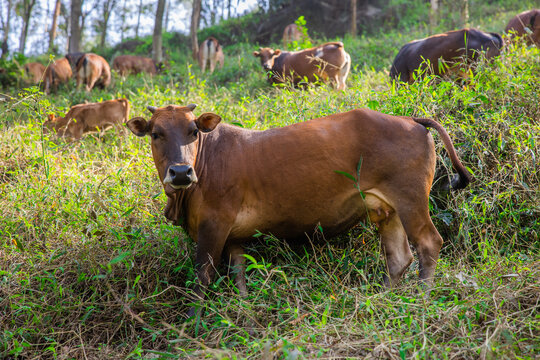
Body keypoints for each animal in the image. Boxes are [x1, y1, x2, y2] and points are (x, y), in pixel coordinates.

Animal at [126, 104, 472, 312]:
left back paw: (422, 299)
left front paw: (194, 321)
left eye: (194, 131)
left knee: (429, 243)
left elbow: (201, 278)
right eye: (156, 133)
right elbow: (240, 278)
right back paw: (381, 299)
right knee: (399, 258)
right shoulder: (234, 236)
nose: (180, 172)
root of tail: (409, 119)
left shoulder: (214, 226)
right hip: (387, 210)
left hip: (411, 199)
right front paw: (246, 317)